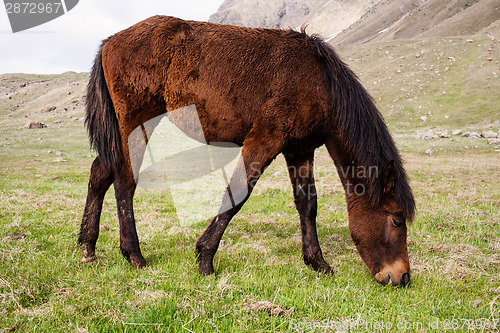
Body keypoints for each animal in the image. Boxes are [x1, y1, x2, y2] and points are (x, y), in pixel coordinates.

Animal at [78, 15, 414, 286]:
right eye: (396, 220)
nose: (402, 277)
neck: (319, 83)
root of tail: (110, 42)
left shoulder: (300, 150)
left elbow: (308, 205)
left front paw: (317, 262)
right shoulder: (265, 139)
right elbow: (237, 193)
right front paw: (205, 259)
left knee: (100, 174)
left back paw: (87, 249)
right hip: (134, 125)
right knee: (124, 182)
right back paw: (134, 255)